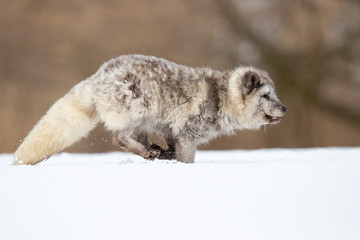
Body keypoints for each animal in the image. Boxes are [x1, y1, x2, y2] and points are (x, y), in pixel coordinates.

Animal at [13, 54, 286, 165]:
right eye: (266, 95)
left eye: (275, 94)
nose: (284, 108)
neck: (221, 96)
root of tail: (97, 76)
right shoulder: (186, 133)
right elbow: (187, 159)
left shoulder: (171, 131)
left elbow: (173, 149)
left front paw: (167, 155)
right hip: (139, 111)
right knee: (119, 137)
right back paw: (147, 152)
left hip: (146, 120)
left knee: (134, 139)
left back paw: (153, 151)